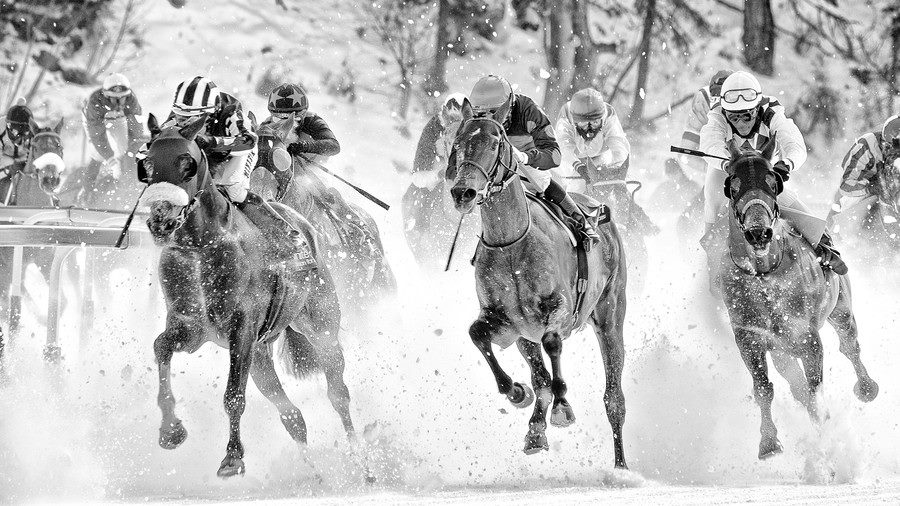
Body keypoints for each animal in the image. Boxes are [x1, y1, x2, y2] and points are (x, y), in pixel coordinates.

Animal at [141, 113, 356, 478]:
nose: (161, 218)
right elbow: (160, 347)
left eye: (187, 163)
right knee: (292, 415)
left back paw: (363, 461)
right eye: (147, 164)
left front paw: (232, 458)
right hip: (261, 355)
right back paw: (315, 474)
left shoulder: (241, 329)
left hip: (321, 325)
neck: (201, 246)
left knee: (338, 393)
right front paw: (171, 430)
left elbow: (233, 396)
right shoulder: (191, 328)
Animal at [450, 103, 632, 470]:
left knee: (614, 397)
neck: (510, 243)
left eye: (496, 142)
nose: (463, 192)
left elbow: (553, 343)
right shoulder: (507, 321)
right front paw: (517, 392)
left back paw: (621, 466)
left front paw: (562, 407)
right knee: (541, 377)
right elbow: (477, 334)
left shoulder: (559, 309)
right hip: (525, 335)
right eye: (458, 143)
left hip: (610, 314)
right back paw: (535, 429)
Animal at [712, 137, 880, 458]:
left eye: (772, 181)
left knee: (850, 345)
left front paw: (825, 436)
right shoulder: (750, 338)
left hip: (841, 308)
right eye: (733, 184)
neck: (764, 273)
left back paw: (867, 387)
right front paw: (768, 442)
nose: (758, 232)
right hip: (780, 349)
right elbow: (764, 387)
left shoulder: (806, 336)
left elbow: (815, 388)